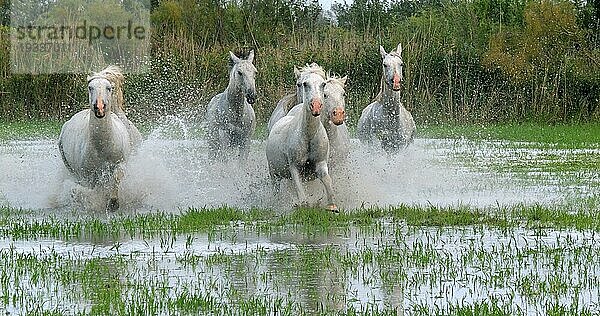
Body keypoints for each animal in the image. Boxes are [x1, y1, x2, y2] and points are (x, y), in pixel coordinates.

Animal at [58, 65, 141, 210]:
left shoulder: (120, 164)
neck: (102, 145)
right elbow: (94, 189)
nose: (99, 108)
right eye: (90, 87)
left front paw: (113, 202)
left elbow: (116, 178)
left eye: (109, 88)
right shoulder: (87, 175)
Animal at [266, 69, 338, 212]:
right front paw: (303, 205)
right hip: (274, 173)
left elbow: (327, 180)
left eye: (323, 84)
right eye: (304, 84)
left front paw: (332, 206)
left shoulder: (321, 163)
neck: (308, 137)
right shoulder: (294, 167)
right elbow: (299, 189)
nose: (316, 106)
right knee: (276, 188)